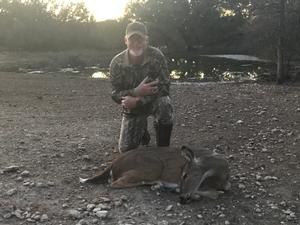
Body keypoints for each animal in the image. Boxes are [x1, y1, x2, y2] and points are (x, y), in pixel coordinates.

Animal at [79, 146, 230, 204]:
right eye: (183, 175)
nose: (182, 198)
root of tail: (113, 164)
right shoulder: (204, 184)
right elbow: (214, 193)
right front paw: (179, 190)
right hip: (154, 166)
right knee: (114, 183)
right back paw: (158, 184)